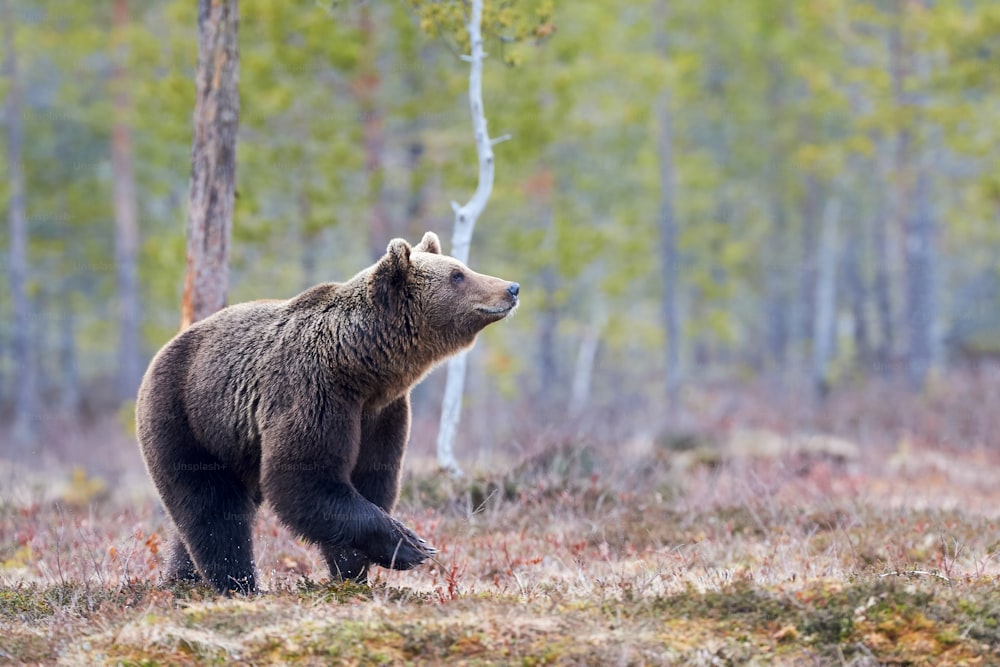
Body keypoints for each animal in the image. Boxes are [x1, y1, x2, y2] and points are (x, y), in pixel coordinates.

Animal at [136, 234, 520, 596]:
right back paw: (237, 584)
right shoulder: (314, 391)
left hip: (235, 446)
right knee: (211, 508)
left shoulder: (381, 413)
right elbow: (305, 477)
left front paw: (353, 570)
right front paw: (410, 545)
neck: (361, 365)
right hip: (187, 419)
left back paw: (182, 577)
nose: (511, 288)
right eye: (457, 274)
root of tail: (162, 353)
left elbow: (371, 478)